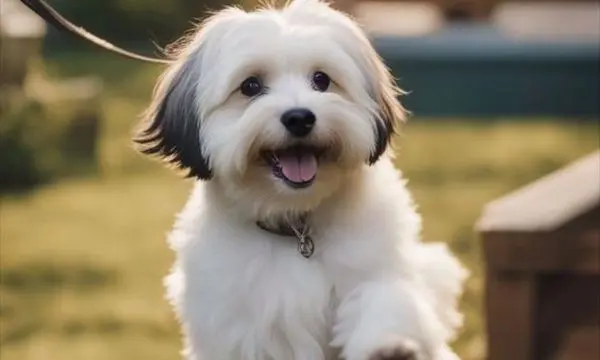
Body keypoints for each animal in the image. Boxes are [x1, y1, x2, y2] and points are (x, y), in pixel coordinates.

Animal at [135, 0, 468, 360]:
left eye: (321, 80)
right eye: (250, 86)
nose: (299, 117)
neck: (296, 224)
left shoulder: (376, 266)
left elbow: (382, 299)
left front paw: (388, 345)